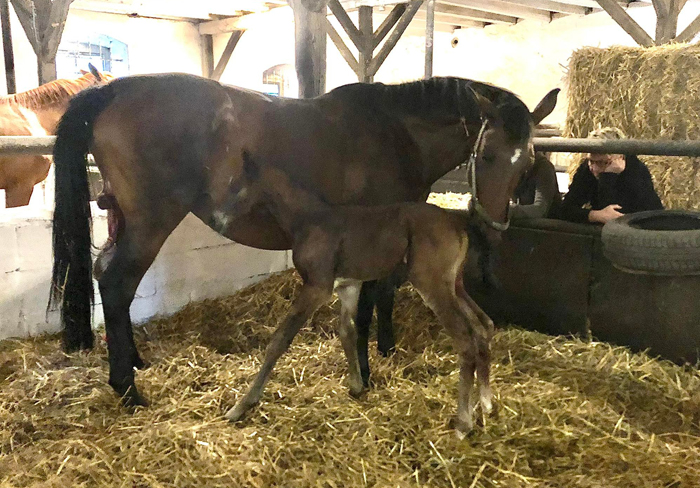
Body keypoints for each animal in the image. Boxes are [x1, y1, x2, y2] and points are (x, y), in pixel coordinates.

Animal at [49, 73, 556, 408]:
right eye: (486, 156)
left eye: (528, 160)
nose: (492, 224)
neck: (397, 133)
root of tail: (113, 89)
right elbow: (368, 306)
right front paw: (367, 371)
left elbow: (381, 298)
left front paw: (382, 353)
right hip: (150, 221)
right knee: (117, 282)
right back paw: (127, 389)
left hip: (121, 218)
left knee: (108, 277)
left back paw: (134, 362)